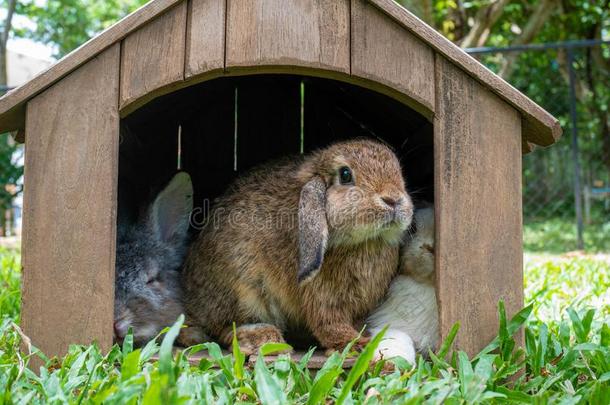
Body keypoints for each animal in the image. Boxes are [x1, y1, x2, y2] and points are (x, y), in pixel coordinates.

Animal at [182, 139, 414, 354]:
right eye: (345, 175)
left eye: (399, 171)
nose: (393, 199)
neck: (366, 241)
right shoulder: (322, 297)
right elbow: (329, 324)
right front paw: (355, 344)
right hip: (243, 288)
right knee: (225, 327)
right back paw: (262, 338)